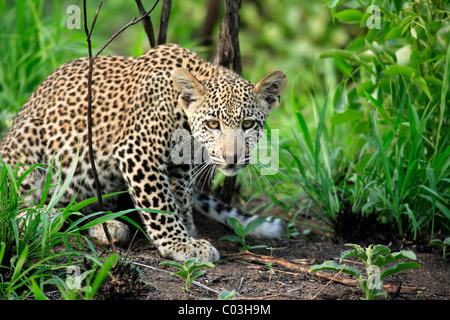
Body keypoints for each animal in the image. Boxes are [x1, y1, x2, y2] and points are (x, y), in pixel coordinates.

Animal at [0, 43, 286, 262]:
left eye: (247, 124)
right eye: (213, 124)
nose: (232, 158)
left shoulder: (183, 165)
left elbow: (180, 197)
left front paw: (188, 230)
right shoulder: (138, 151)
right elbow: (160, 203)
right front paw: (181, 244)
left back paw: (108, 225)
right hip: (29, 143)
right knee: (15, 200)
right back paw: (37, 216)